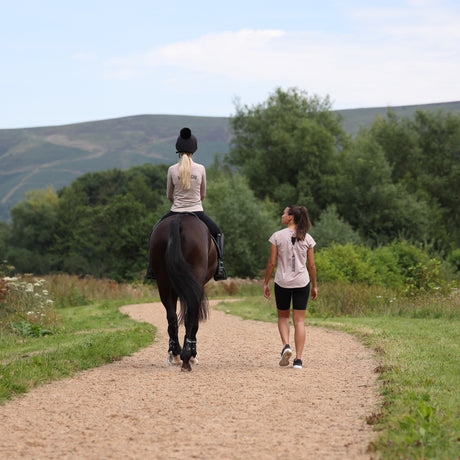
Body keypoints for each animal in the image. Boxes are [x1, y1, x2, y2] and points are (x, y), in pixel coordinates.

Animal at [148, 214, 218, 372]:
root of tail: (178, 220)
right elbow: (193, 320)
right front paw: (192, 354)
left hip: (164, 281)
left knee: (172, 317)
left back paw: (175, 353)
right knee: (190, 317)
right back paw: (187, 357)